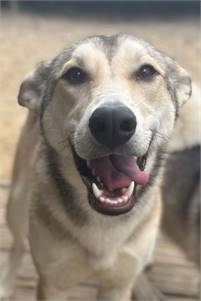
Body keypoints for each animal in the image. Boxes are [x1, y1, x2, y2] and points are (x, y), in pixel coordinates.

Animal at [0, 34, 192, 298]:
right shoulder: (53, 281)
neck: (104, 223)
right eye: (75, 74)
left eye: (146, 71)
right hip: (17, 202)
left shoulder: (119, 283)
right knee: (18, 243)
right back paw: (7, 283)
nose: (112, 122)